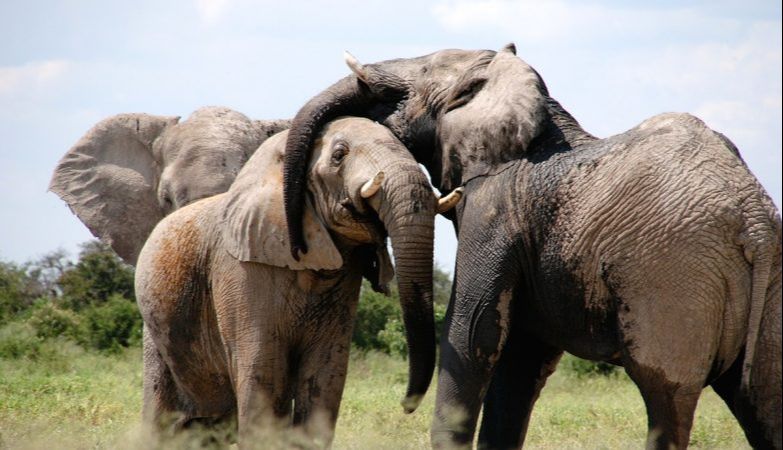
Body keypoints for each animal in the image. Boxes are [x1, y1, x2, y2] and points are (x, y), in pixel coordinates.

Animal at [135, 117, 462, 446]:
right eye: (339, 155)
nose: (406, 406)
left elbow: (325, 376)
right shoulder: (240, 270)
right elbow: (263, 373)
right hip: (155, 334)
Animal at [279, 45, 782, 449]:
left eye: (419, 75)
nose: (299, 245)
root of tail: (753, 221)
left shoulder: (494, 206)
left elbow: (473, 332)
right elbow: (520, 358)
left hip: (674, 278)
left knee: (666, 399)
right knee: (763, 402)